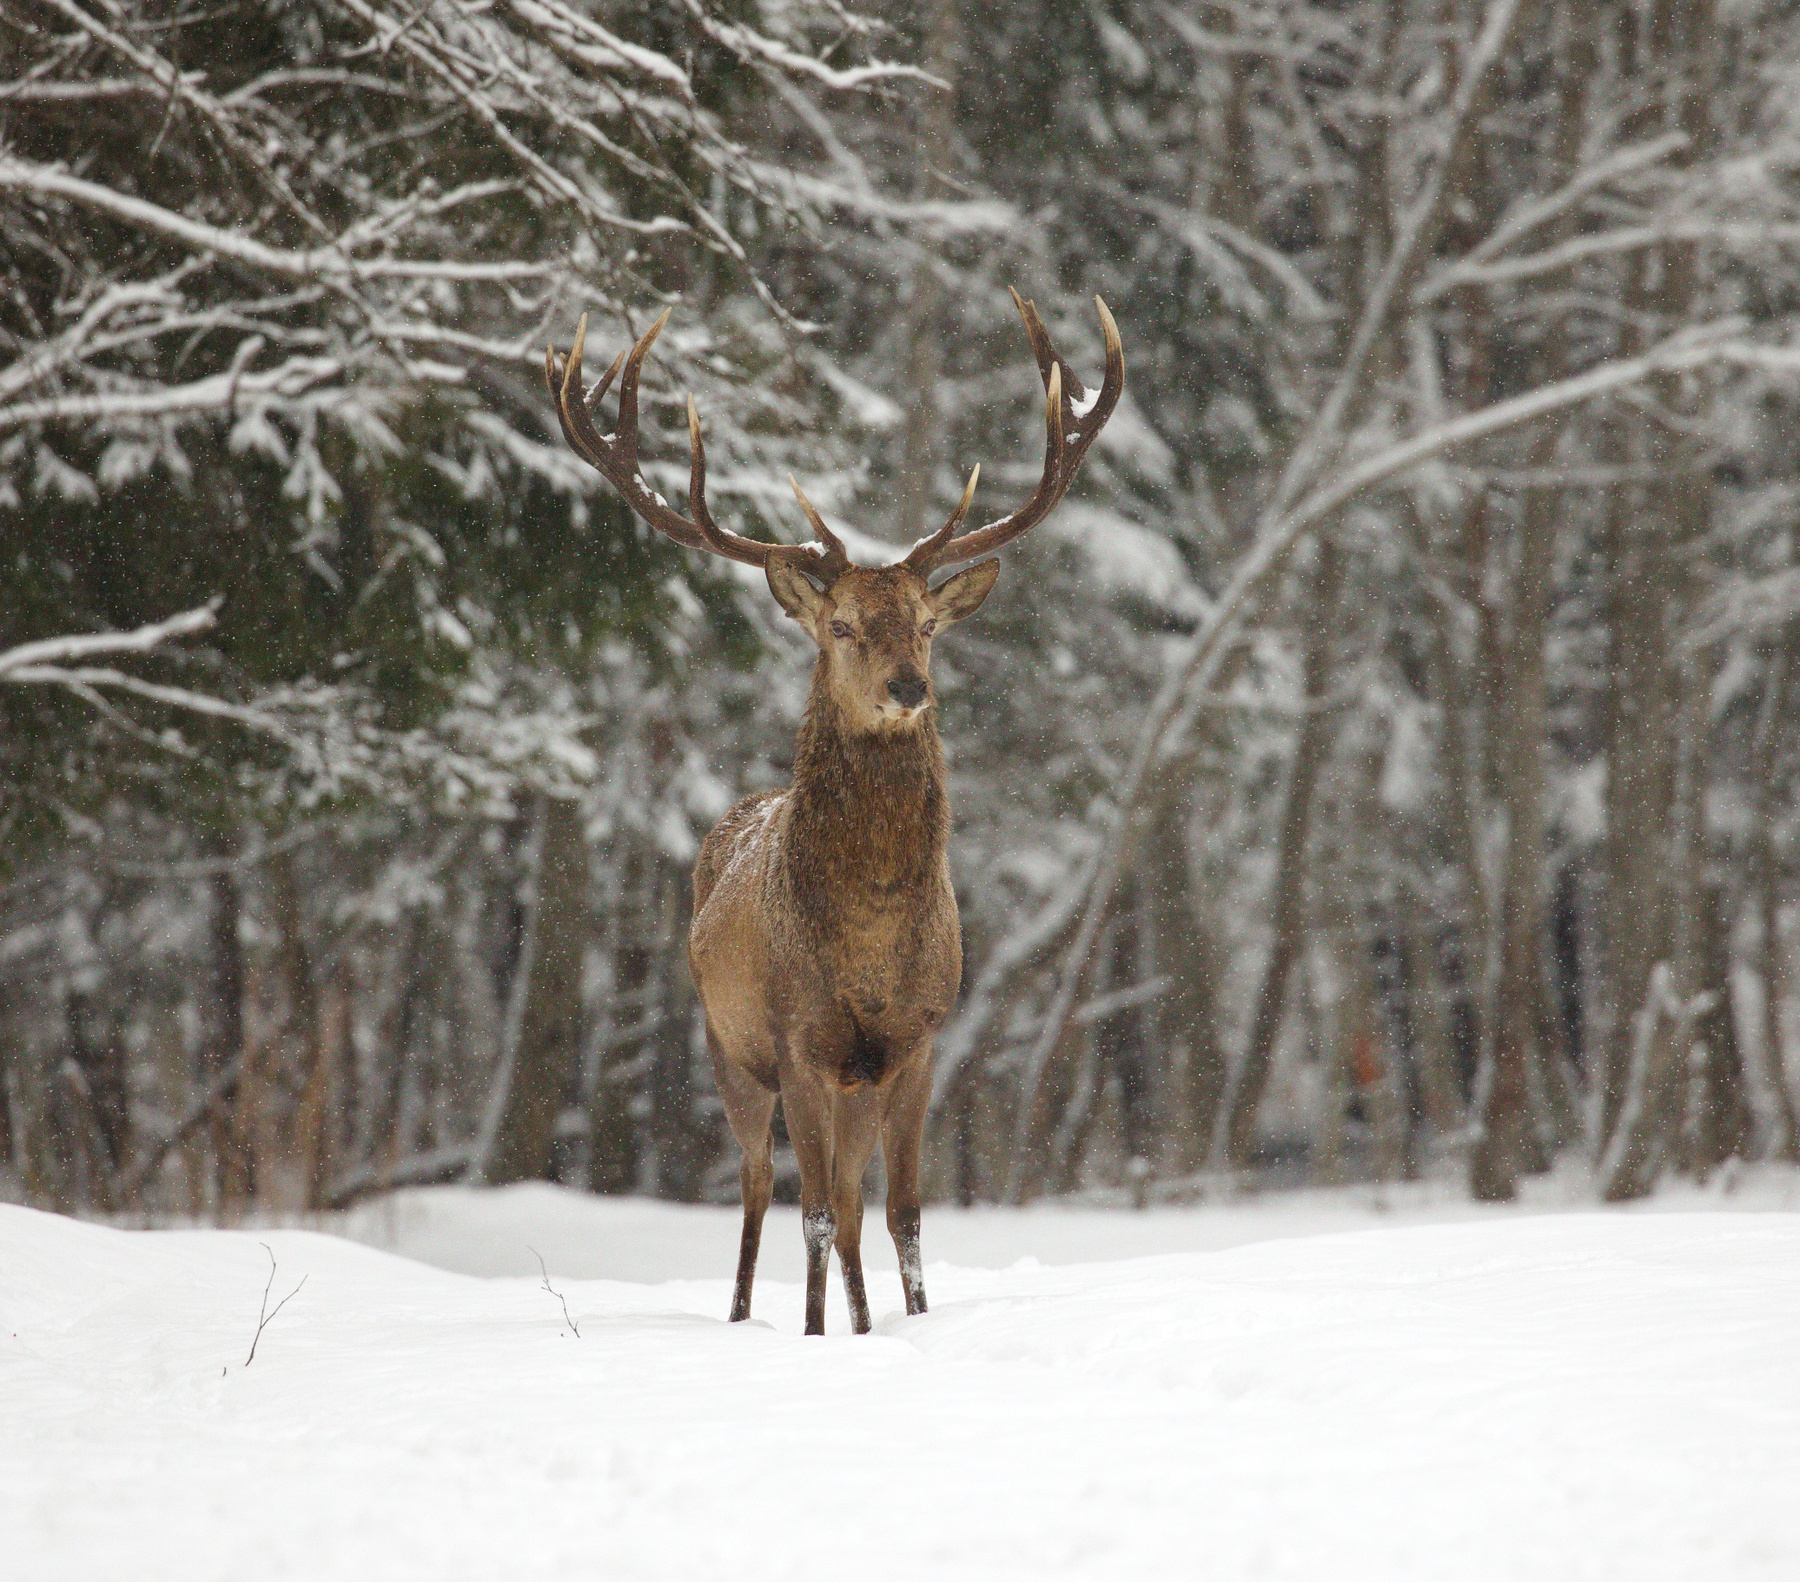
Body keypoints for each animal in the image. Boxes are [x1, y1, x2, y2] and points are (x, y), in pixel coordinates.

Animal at [545, 291, 1123, 1334]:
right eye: (842, 624)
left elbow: (900, 1217)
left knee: (851, 1206)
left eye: (927, 625)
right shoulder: (798, 1039)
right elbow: (809, 1215)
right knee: (757, 1189)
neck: (868, 941)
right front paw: (817, 1339)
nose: (908, 687)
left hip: (852, 1082)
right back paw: (746, 1315)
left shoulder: (916, 1043)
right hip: (728, 1052)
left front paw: (901, 1326)